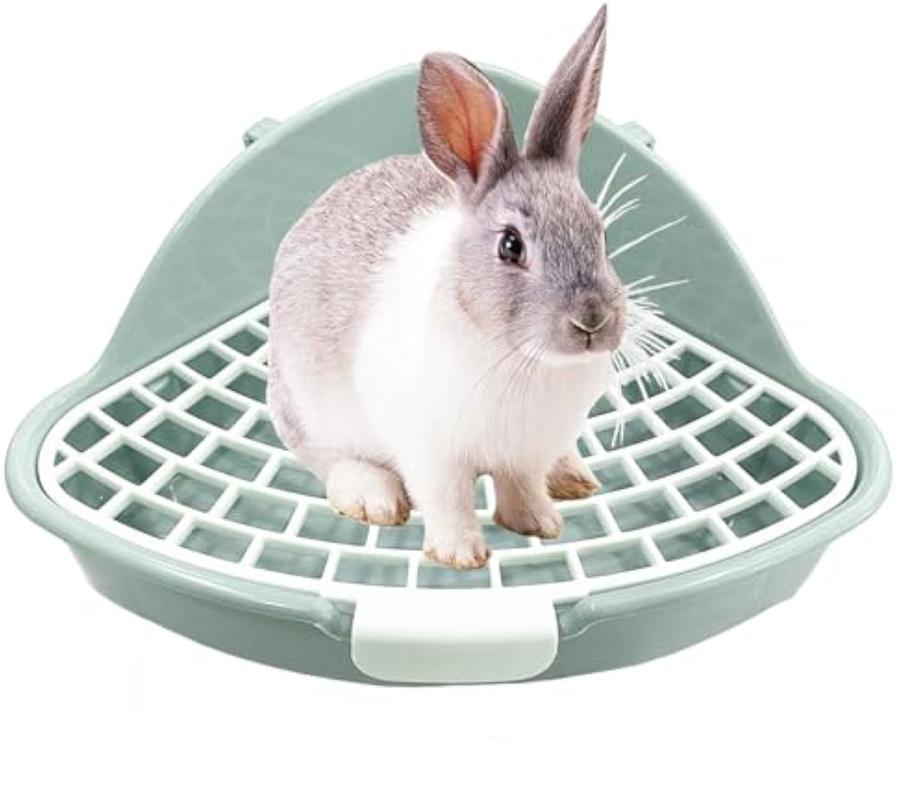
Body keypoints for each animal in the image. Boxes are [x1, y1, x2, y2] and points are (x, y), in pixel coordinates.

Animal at [268, 5, 626, 569]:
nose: (592, 320)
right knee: (327, 458)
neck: (519, 357)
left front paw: (540, 524)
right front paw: (460, 555)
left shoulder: (526, 450)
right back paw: (372, 497)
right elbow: (448, 498)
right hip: (308, 408)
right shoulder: (430, 450)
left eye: (601, 233)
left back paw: (573, 476)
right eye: (510, 246)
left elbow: (522, 486)